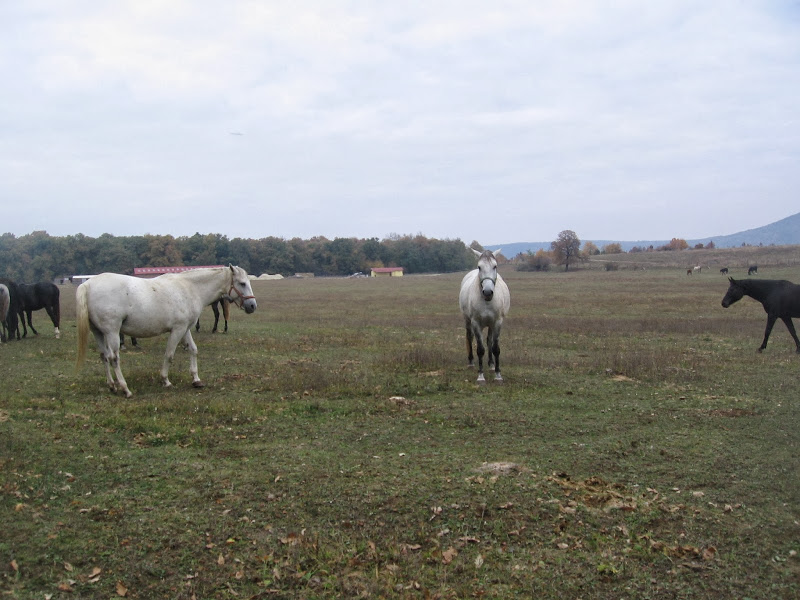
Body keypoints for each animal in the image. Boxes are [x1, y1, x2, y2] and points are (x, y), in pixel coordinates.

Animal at [76, 264, 255, 396]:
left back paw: (112, 385)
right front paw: (165, 380)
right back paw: (125, 389)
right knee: (114, 358)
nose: (253, 306)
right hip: (112, 332)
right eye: (242, 283)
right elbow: (169, 354)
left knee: (104, 356)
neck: (189, 288)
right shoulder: (177, 329)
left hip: (98, 332)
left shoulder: (185, 328)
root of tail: (88, 284)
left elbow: (193, 350)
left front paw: (196, 379)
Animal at [460, 250, 510, 384]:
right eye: (479, 267)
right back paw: (471, 362)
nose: (487, 292)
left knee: (489, 341)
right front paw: (480, 376)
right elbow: (480, 349)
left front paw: (498, 374)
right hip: (467, 320)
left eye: (495, 266)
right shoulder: (476, 323)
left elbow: (495, 348)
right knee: (469, 337)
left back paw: (491, 364)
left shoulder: (497, 322)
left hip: (491, 325)